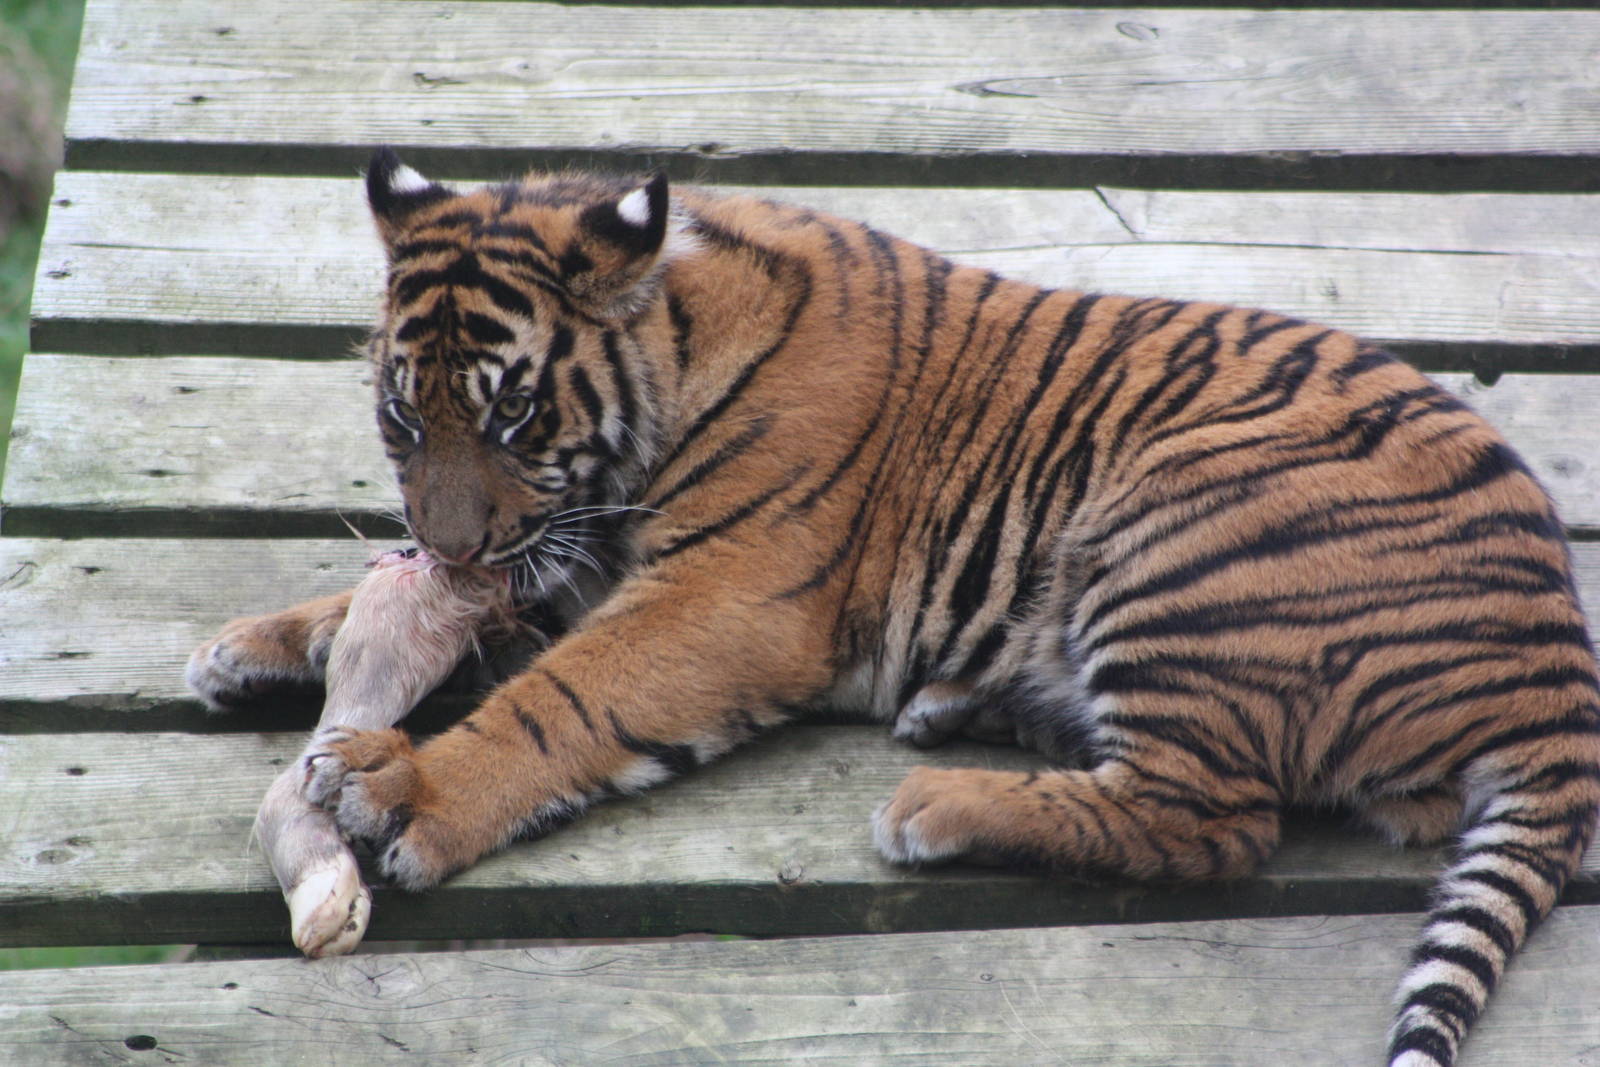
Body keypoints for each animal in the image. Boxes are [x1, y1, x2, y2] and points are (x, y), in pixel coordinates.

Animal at [187, 148, 1600, 1067]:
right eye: (402, 417)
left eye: (516, 414)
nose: (448, 541)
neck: (674, 344)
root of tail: (1560, 654)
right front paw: (257, 642)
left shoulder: (723, 592)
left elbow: (560, 699)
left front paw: (400, 781)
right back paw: (968, 707)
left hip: (1181, 526)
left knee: (1213, 815)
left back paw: (937, 799)